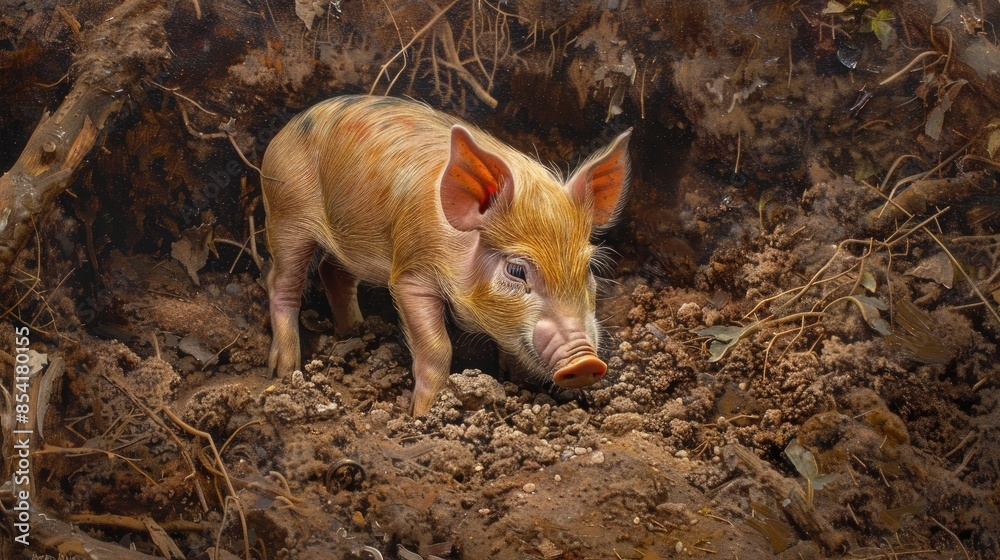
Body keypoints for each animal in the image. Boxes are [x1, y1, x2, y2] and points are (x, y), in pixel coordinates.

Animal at [261, 95, 631, 415]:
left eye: (588, 269)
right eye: (516, 271)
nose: (586, 362)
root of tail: (286, 129)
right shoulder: (411, 275)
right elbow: (437, 347)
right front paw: (423, 414)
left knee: (332, 271)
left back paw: (354, 333)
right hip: (286, 213)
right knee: (282, 283)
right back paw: (284, 372)